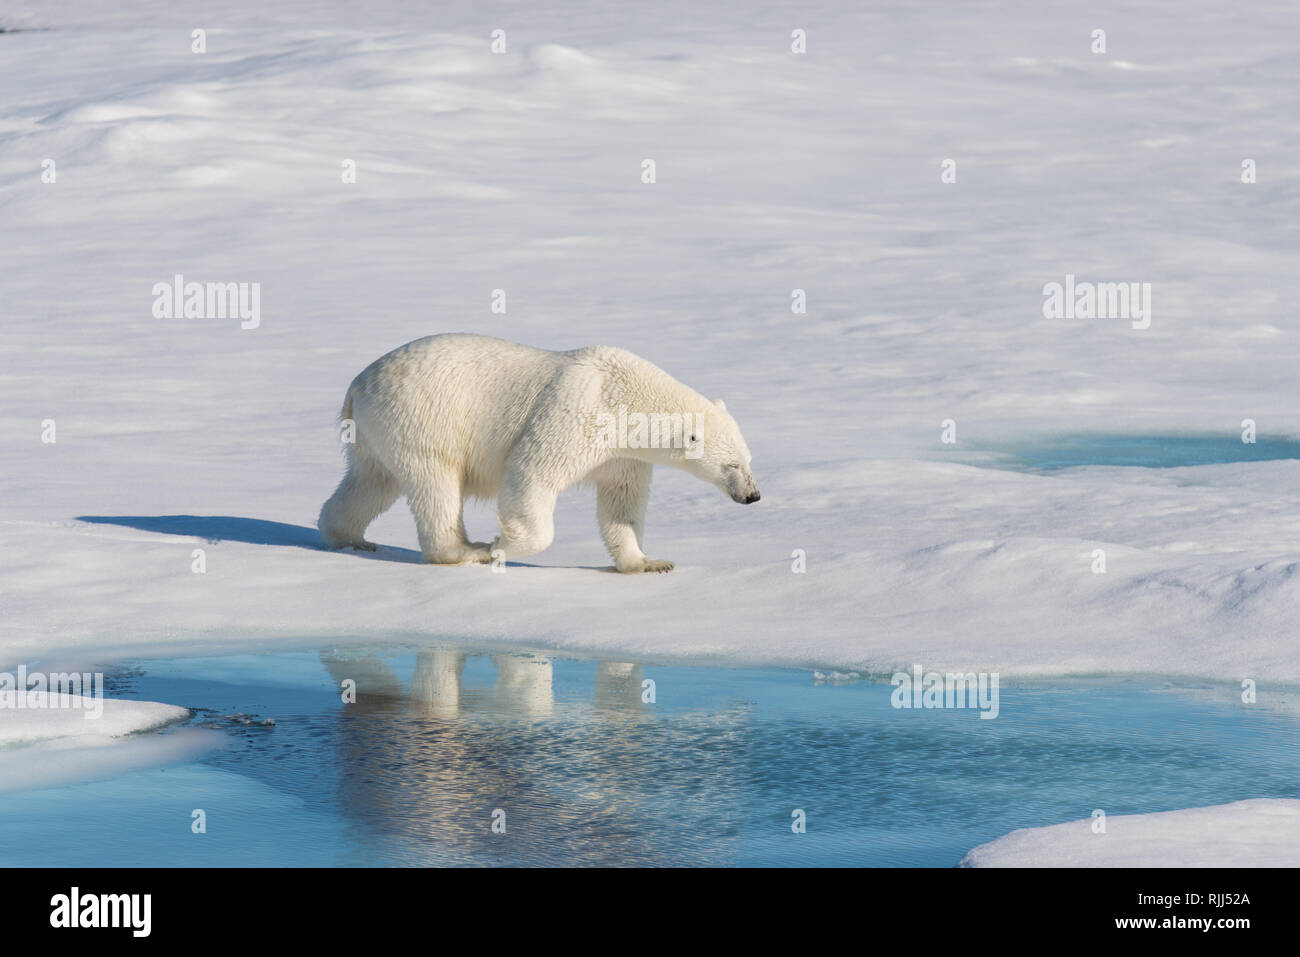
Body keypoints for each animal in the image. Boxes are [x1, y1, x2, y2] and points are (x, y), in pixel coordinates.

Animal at [318, 332, 759, 572]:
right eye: (732, 464)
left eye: (750, 460)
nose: (753, 495)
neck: (625, 394)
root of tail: (357, 386)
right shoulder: (577, 413)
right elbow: (531, 473)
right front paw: (500, 545)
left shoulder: (622, 455)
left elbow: (622, 502)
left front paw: (649, 562)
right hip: (421, 417)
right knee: (435, 482)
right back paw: (466, 550)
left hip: (376, 432)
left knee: (371, 481)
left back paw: (348, 536)